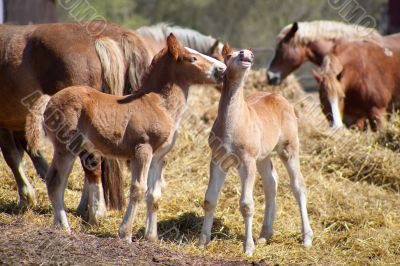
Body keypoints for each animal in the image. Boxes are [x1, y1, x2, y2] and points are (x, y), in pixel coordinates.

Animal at [26, 33, 227, 241]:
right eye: (192, 58)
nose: (222, 69)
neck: (159, 104)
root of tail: (50, 100)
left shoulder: (158, 157)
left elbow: (154, 195)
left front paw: (151, 237)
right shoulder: (142, 150)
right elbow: (138, 189)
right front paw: (125, 234)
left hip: (71, 149)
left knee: (57, 181)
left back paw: (58, 225)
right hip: (65, 147)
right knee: (55, 182)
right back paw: (64, 227)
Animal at [199, 44, 312, 256]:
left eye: (248, 53)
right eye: (229, 54)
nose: (246, 54)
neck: (232, 124)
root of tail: (279, 97)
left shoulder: (247, 161)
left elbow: (246, 205)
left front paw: (248, 248)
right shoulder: (218, 159)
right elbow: (210, 199)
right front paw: (202, 242)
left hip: (289, 148)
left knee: (298, 185)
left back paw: (307, 238)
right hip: (263, 156)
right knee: (271, 183)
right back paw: (264, 235)